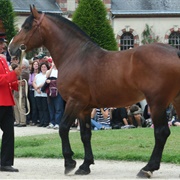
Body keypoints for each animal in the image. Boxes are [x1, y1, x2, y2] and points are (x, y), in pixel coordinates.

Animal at [8, 4, 180, 178]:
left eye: (27, 27)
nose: (10, 48)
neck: (75, 55)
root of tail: (174, 52)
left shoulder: (74, 102)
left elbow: (63, 128)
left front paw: (69, 163)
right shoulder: (84, 108)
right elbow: (85, 135)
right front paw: (85, 165)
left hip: (157, 103)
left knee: (161, 132)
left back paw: (148, 168)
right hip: (174, 101)